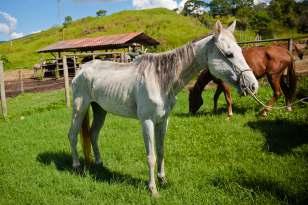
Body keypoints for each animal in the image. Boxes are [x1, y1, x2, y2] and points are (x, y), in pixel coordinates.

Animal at [67, 20, 258, 195]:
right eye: (229, 54)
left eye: (240, 50)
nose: (253, 86)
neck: (160, 80)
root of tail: (81, 69)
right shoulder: (147, 121)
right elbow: (151, 156)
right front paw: (153, 189)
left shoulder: (163, 121)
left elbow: (160, 151)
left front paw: (162, 180)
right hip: (80, 108)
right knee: (72, 134)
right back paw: (76, 165)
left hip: (100, 110)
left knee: (93, 134)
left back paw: (99, 163)